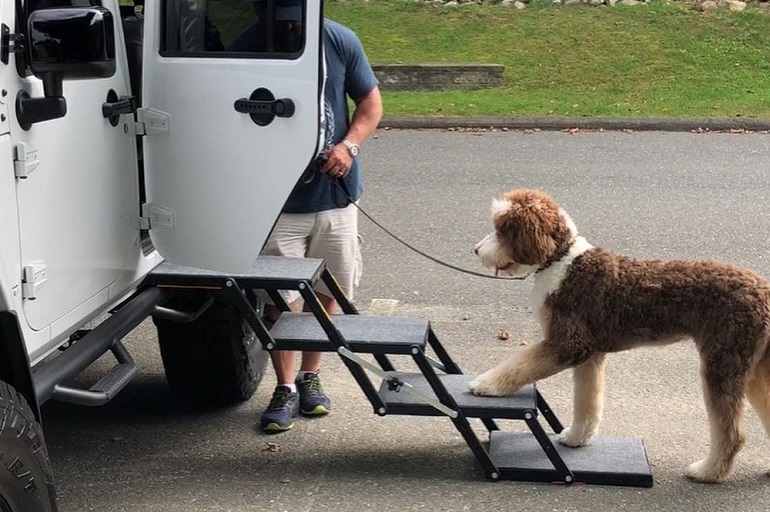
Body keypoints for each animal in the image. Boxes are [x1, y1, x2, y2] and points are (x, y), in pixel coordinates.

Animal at [464, 186, 768, 482]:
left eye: (502, 229)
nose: (476, 250)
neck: (563, 262)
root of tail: (763, 289)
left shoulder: (569, 343)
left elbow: (520, 365)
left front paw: (485, 384)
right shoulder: (590, 355)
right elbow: (587, 401)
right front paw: (577, 437)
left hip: (724, 361)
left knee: (732, 434)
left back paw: (708, 471)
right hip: (753, 368)